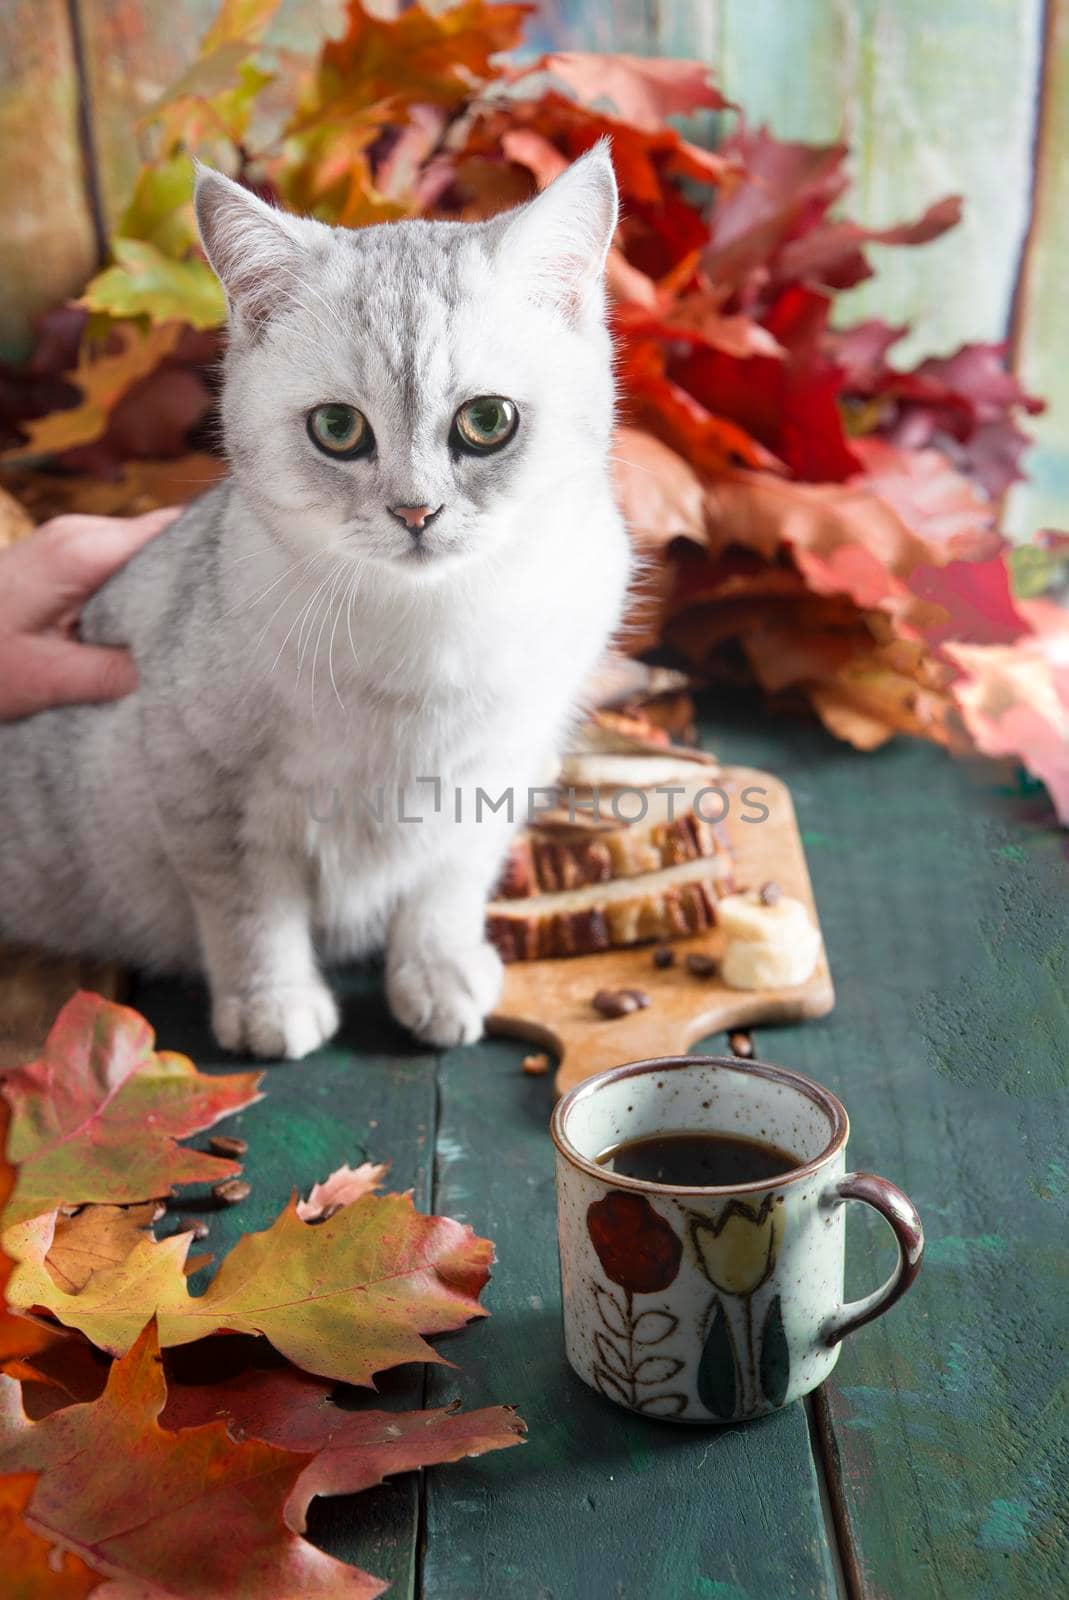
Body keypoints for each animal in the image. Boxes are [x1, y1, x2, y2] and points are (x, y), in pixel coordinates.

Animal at [0, 144, 630, 1056]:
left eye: (487, 421)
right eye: (337, 430)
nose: (415, 511)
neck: (428, 634)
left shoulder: (495, 778)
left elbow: (444, 886)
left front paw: (436, 971)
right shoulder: (201, 788)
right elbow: (251, 911)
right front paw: (272, 1002)